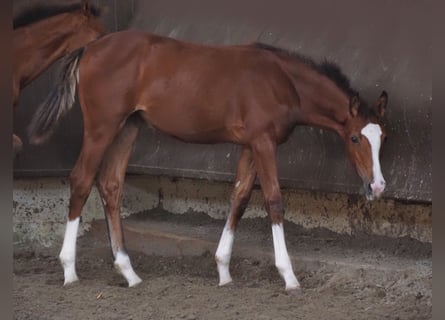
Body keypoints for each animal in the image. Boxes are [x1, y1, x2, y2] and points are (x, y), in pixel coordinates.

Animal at [28, 30, 388, 292]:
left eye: (382, 136)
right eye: (355, 138)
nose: (378, 186)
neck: (282, 81)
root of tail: (89, 47)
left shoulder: (250, 145)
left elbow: (239, 197)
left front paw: (223, 270)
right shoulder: (264, 143)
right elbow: (273, 200)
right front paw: (289, 276)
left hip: (128, 126)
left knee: (111, 184)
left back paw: (129, 272)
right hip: (102, 128)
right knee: (81, 179)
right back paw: (69, 270)